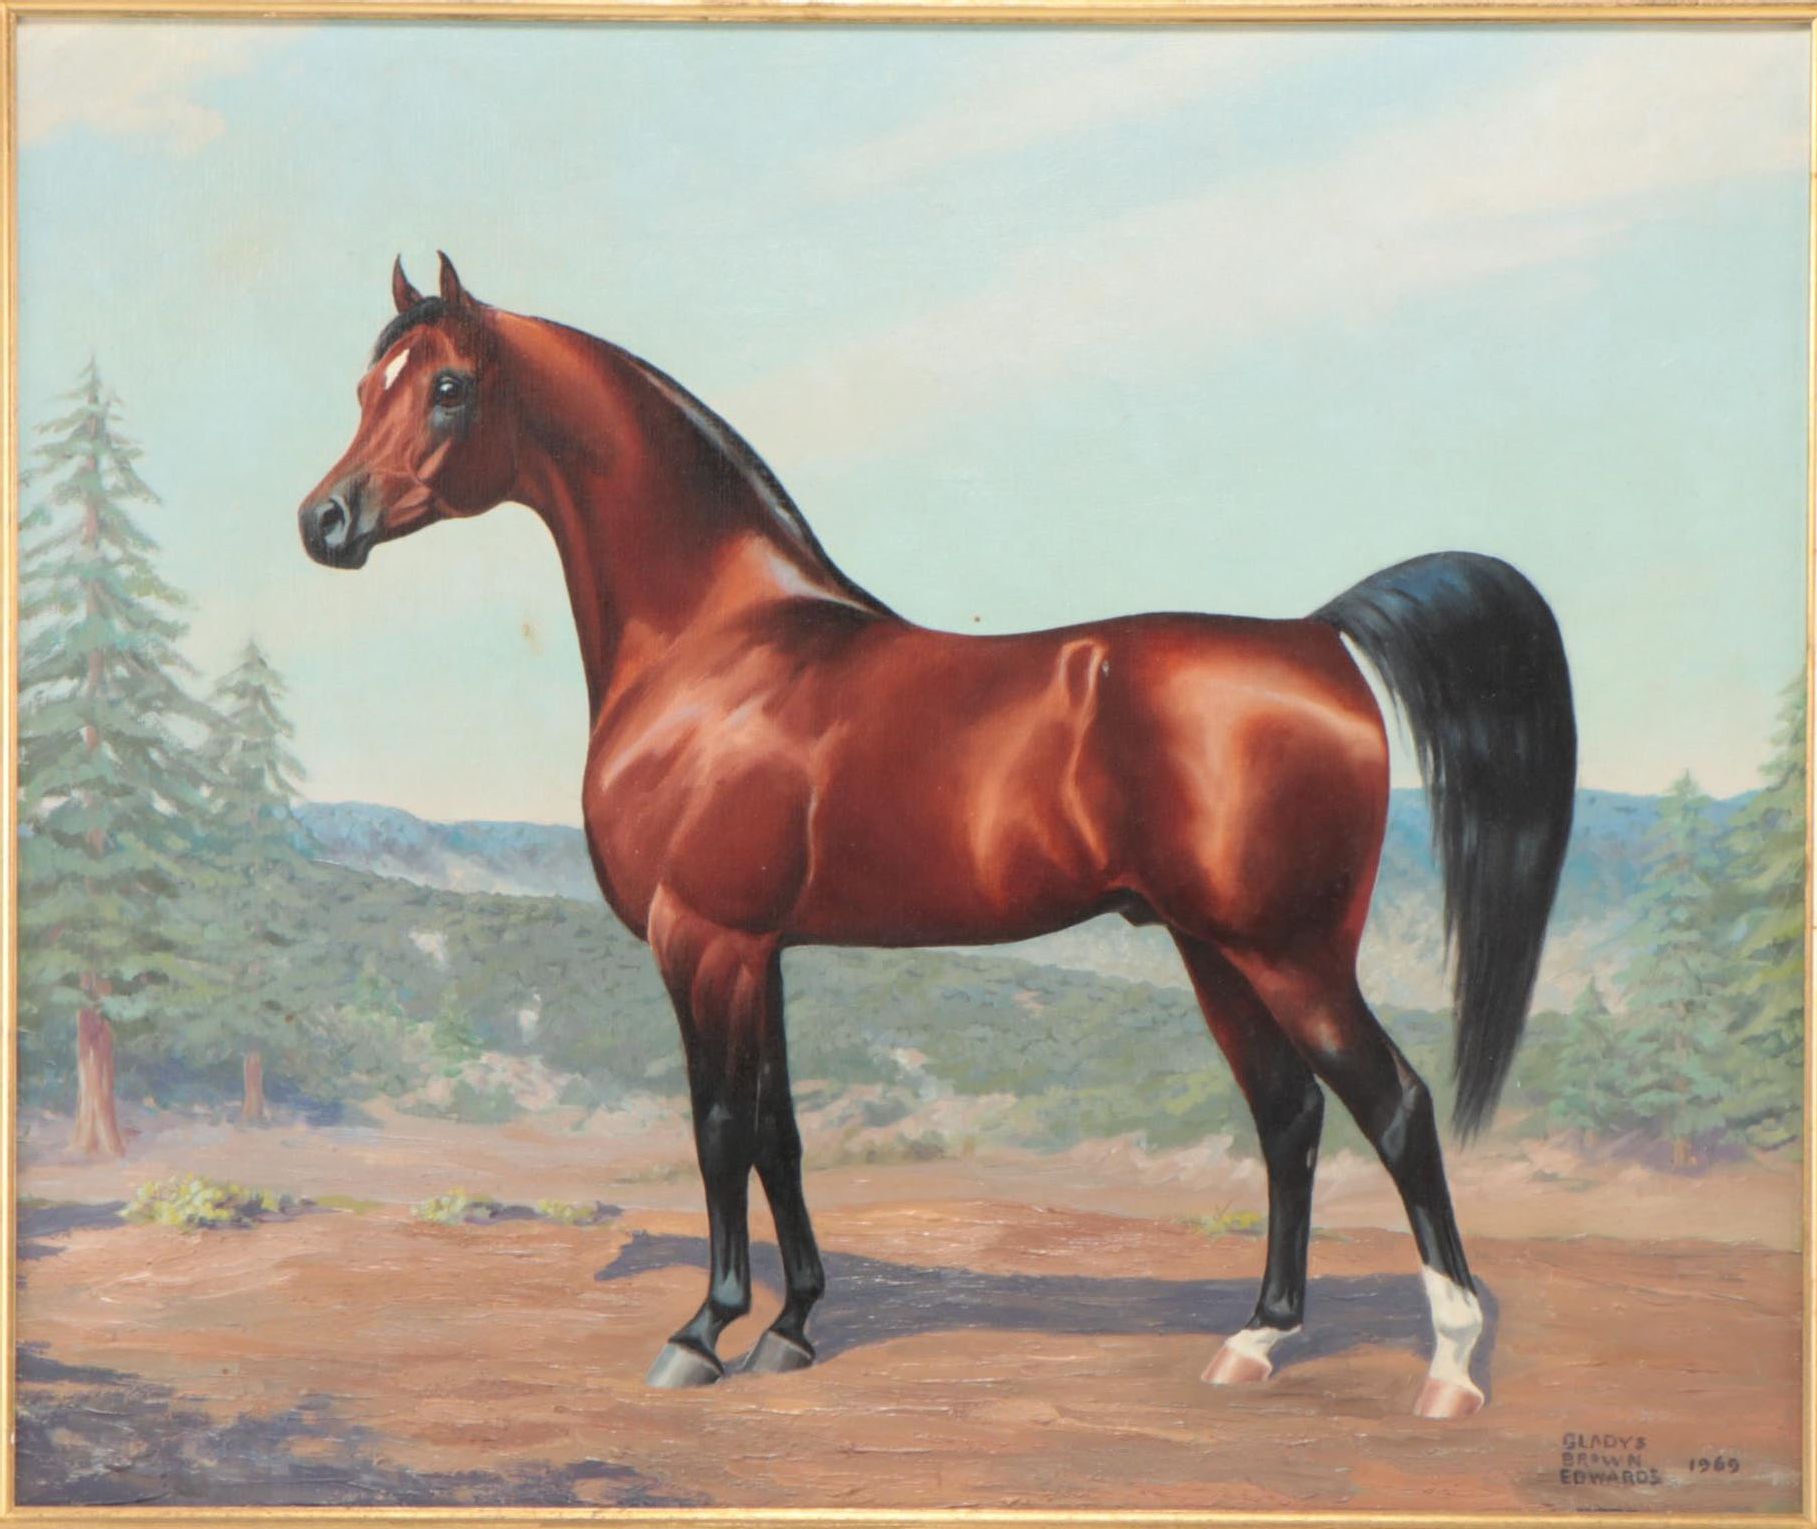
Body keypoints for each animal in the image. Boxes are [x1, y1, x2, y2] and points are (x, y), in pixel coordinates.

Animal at [297, 254, 1575, 1421]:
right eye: (366, 384)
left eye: (449, 386)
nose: (324, 521)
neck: (719, 645)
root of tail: (1315, 636)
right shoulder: (760, 948)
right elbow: (779, 1134)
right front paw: (792, 1327)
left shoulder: (701, 939)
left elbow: (717, 1129)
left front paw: (702, 1331)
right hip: (1214, 951)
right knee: (1287, 1115)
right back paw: (1255, 1340)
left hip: (1290, 953)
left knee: (1394, 1107)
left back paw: (1449, 1368)